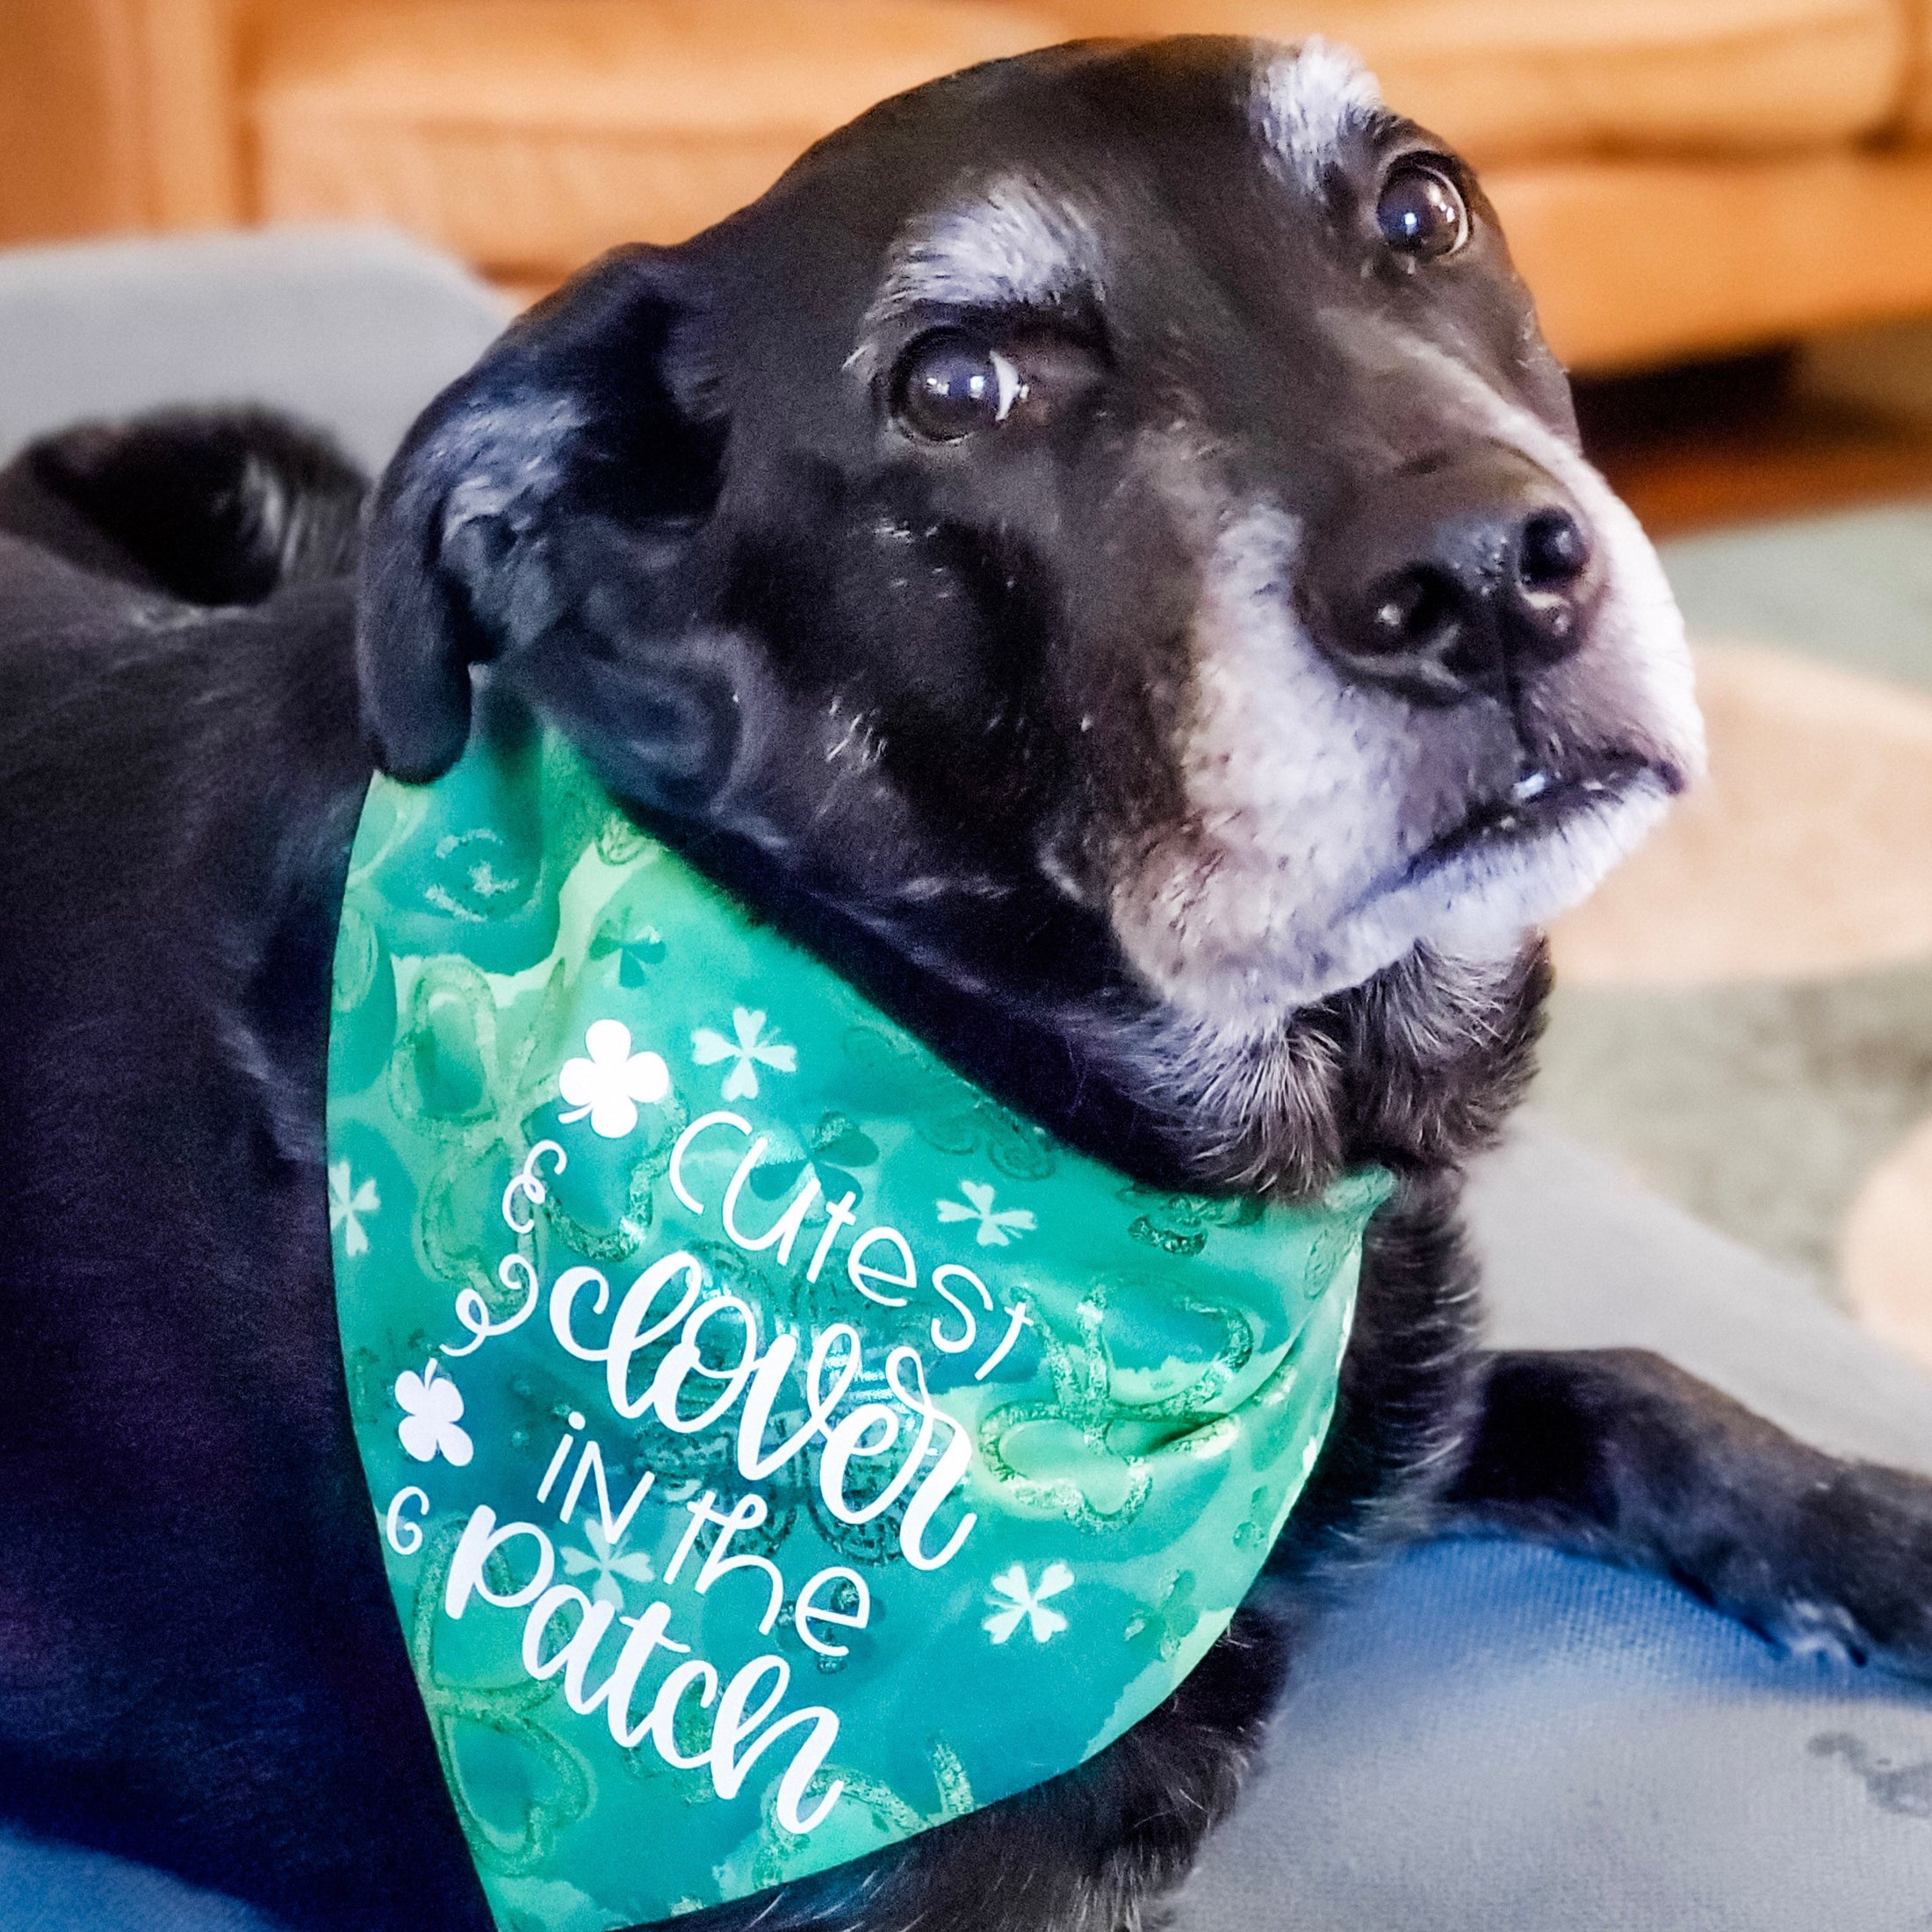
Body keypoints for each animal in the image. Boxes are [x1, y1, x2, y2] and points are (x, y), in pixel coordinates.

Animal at [4, 37, 1932, 1932]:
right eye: (955, 385)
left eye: (1421, 208)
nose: (1481, 572)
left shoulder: (1375, 1401)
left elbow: (1620, 1379)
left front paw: (1881, 1523)